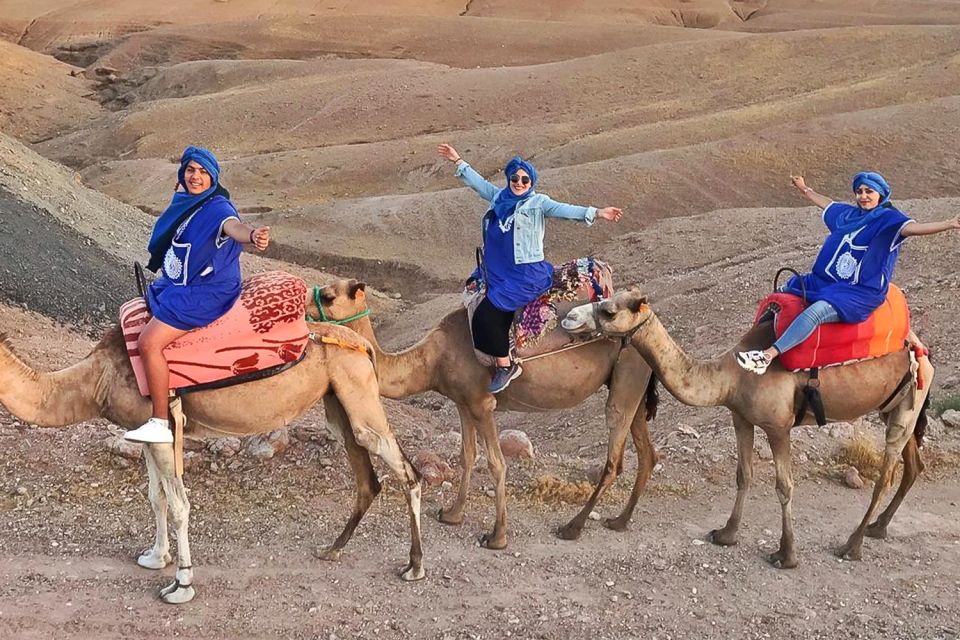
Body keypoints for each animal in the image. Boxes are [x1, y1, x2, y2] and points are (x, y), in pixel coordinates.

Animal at [0, 322, 424, 604]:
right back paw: (332, 549)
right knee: (366, 473)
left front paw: (181, 585)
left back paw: (414, 567)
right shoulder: (149, 430)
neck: (95, 380)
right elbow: (156, 497)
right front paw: (155, 557)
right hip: (337, 399)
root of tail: (364, 345)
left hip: (359, 393)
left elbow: (179, 505)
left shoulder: (162, 423)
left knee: (407, 471)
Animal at [308, 278, 660, 548]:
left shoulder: (482, 404)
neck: (431, 360)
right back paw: (620, 520)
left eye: (329, 295)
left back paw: (572, 527)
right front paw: (452, 514)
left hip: (628, 373)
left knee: (615, 457)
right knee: (647, 453)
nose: (305, 308)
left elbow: (496, 463)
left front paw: (497, 536)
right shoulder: (463, 403)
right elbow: (468, 456)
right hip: (635, 384)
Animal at [564, 288, 928, 568]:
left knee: (886, 474)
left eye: (608, 310)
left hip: (908, 404)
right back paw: (878, 528)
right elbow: (744, 475)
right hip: (894, 406)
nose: (568, 318)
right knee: (913, 465)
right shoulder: (741, 418)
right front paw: (725, 534)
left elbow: (784, 487)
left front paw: (786, 555)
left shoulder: (778, 426)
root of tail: (918, 346)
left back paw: (853, 545)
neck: (731, 376)